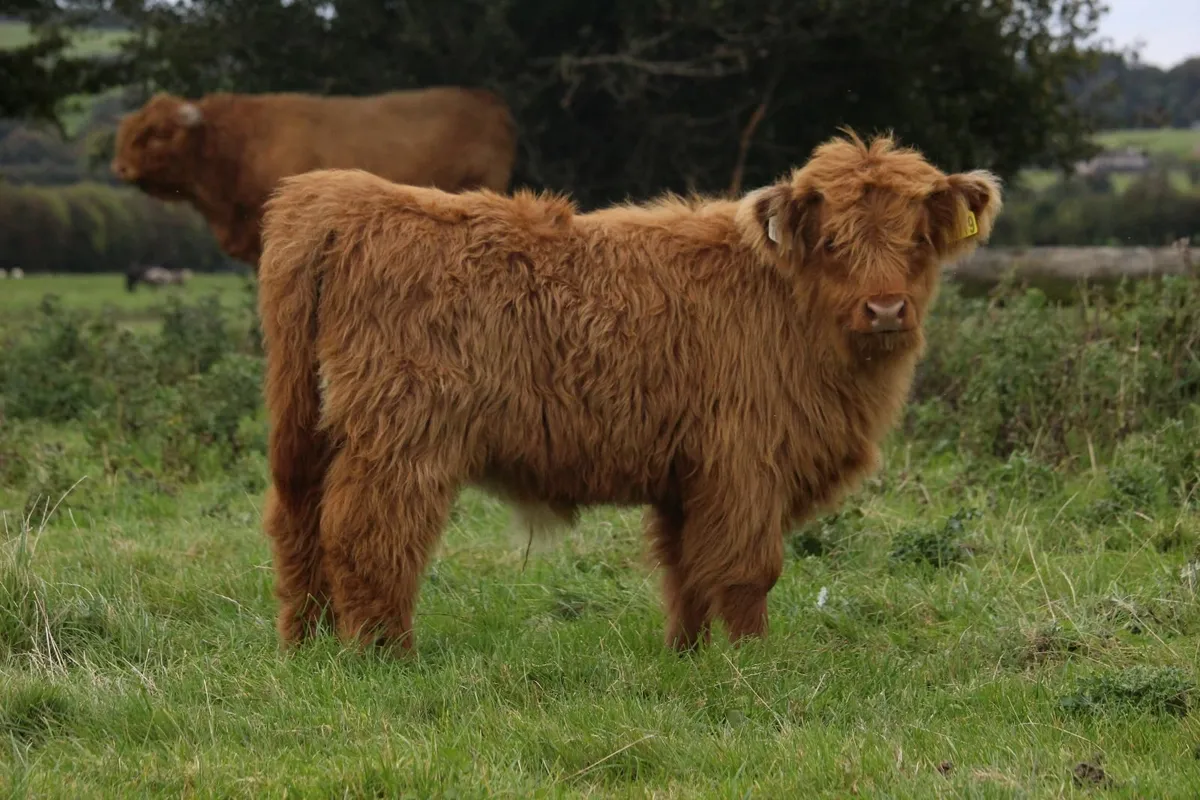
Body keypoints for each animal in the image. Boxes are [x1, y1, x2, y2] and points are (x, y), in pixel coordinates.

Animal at [256, 131, 1003, 655]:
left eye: (918, 239)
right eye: (832, 242)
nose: (886, 309)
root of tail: (343, 199)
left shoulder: (690, 472)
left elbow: (687, 569)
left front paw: (689, 656)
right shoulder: (746, 461)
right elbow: (747, 570)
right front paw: (754, 662)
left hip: (312, 425)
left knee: (297, 524)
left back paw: (307, 648)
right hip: (403, 434)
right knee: (367, 534)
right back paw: (383, 654)